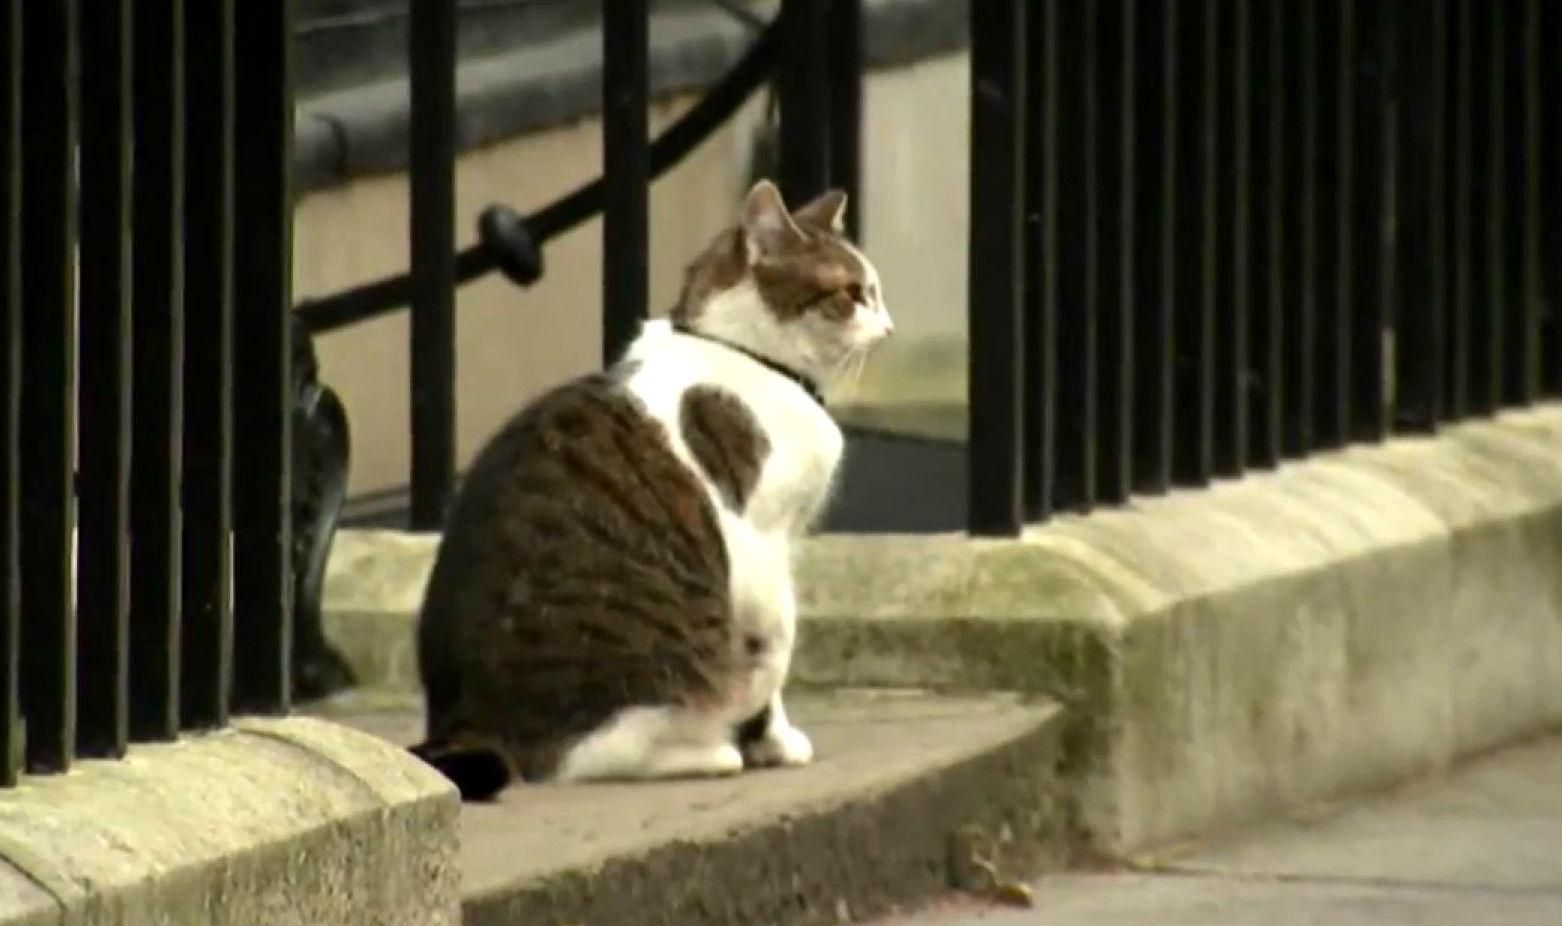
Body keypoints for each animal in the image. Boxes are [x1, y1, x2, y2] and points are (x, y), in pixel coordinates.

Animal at [412, 178, 893, 793]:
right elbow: (775, 650)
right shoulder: (760, 544)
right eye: (852, 293)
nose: (888, 327)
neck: (747, 356)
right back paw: (711, 751)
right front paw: (776, 741)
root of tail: (465, 723)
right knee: (581, 756)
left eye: (874, 291)